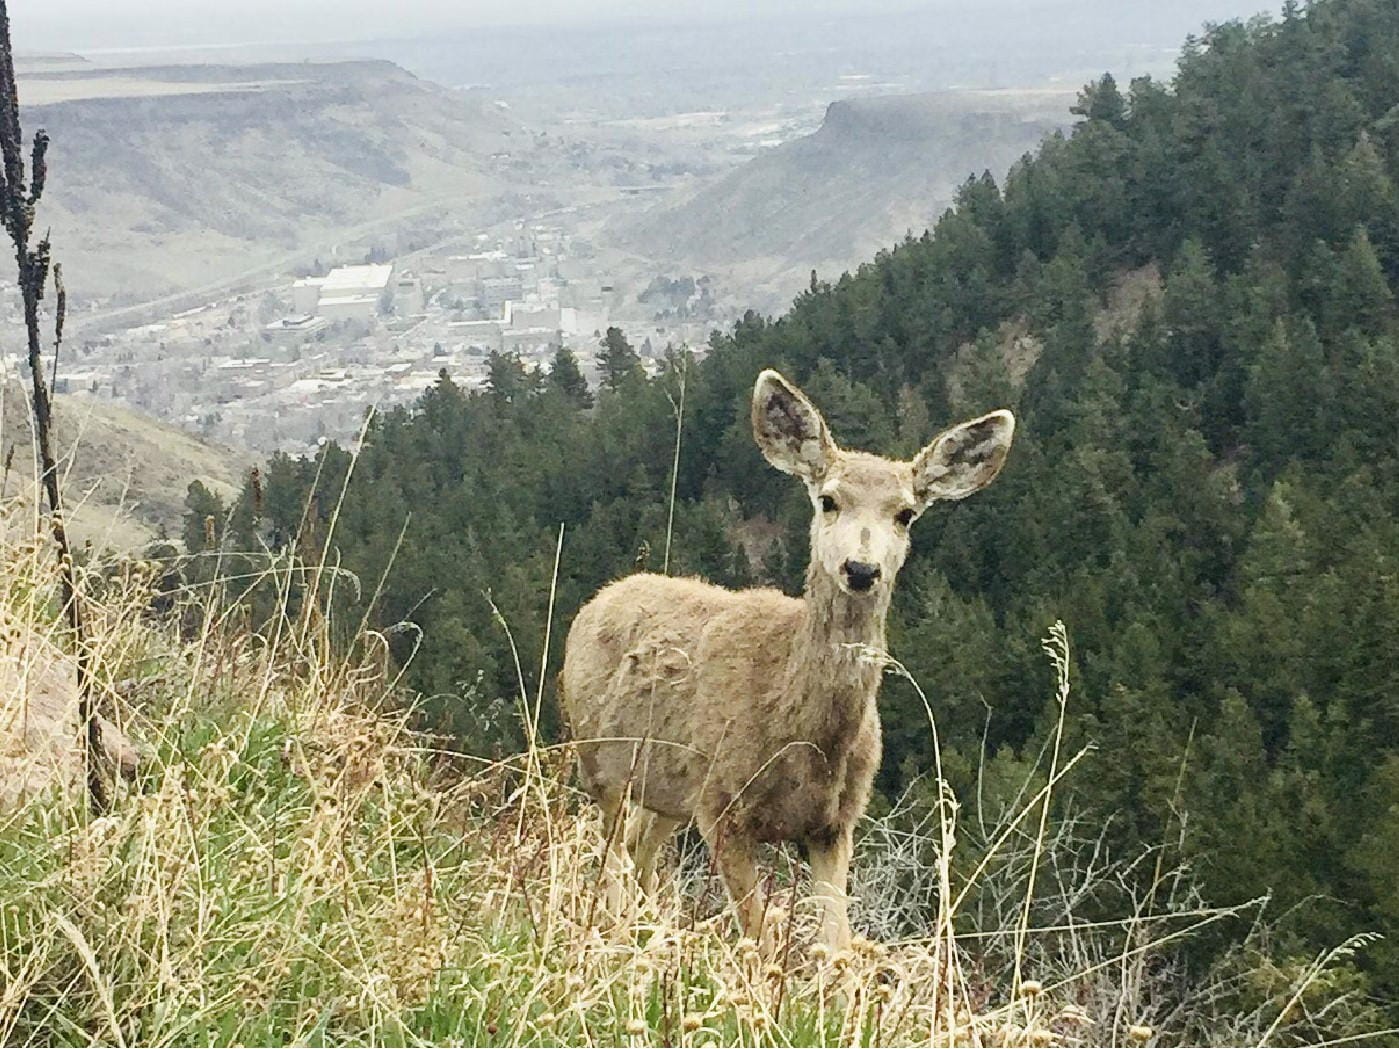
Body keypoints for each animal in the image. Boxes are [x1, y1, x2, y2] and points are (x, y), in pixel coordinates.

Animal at [560, 368, 1015, 951]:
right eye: (828, 500)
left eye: (906, 513)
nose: (861, 569)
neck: (798, 730)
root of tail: (603, 597)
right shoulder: (721, 804)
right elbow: (760, 942)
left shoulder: (835, 822)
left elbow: (837, 944)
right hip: (599, 761)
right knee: (613, 859)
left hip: (666, 792)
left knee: (641, 851)